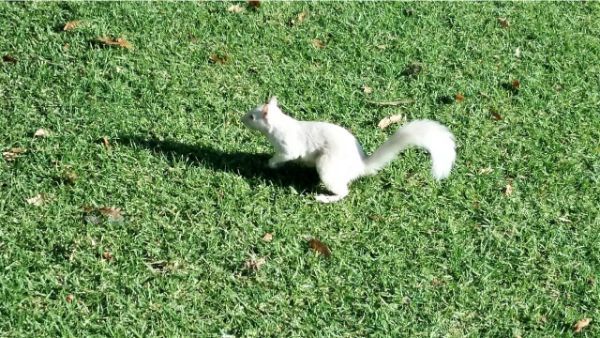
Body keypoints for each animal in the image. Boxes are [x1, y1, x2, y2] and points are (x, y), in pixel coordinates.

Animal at [241, 96, 458, 202]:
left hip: (327, 167)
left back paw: (325, 198)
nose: (242, 118)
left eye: (252, 117)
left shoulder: (288, 145)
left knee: (343, 192)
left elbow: (285, 155)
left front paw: (270, 164)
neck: (279, 124)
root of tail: (359, 167)